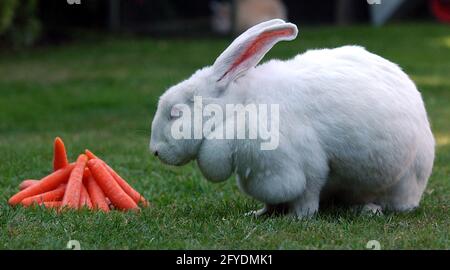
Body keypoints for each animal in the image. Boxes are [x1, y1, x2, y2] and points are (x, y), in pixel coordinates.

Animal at [149, 19, 434, 217]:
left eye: (175, 113)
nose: (155, 151)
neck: (239, 107)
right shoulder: (260, 175)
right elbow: (271, 203)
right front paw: (257, 213)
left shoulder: (302, 168)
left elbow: (306, 198)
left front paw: (297, 218)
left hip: (398, 183)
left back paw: (367, 209)